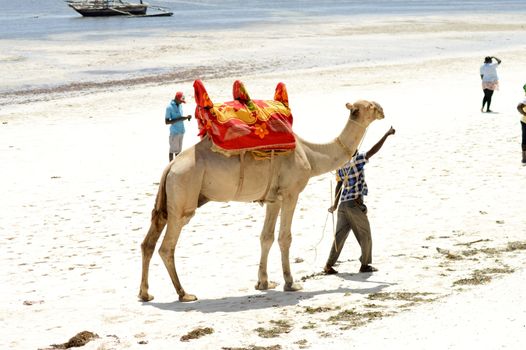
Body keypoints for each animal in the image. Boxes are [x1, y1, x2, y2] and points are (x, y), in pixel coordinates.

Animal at [138, 98, 386, 300]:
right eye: (370, 106)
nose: (382, 109)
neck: (311, 154)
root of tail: (170, 166)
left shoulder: (273, 199)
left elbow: (265, 237)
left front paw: (263, 282)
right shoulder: (290, 193)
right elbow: (285, 238)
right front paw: (290, 283)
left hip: (169, 199)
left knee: (149, 241)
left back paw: (145, 294)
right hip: (184, 194)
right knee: (167, 247)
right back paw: (184, 293)